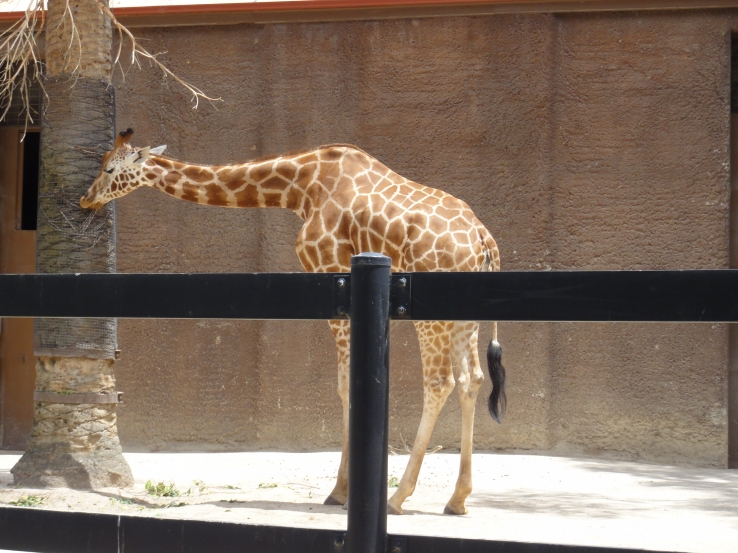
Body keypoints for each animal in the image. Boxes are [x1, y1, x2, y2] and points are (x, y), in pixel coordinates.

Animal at [81, 128, 507, 516]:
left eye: (109, 168)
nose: (87, 198)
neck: (301, 187)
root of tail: (484, 240)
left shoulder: (333, 274)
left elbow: (345, 384)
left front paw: (340, 491)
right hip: (464, 315)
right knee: (471, 379)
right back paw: (458, 498)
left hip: (430, 314)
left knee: (440, 382)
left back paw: (398, 497)